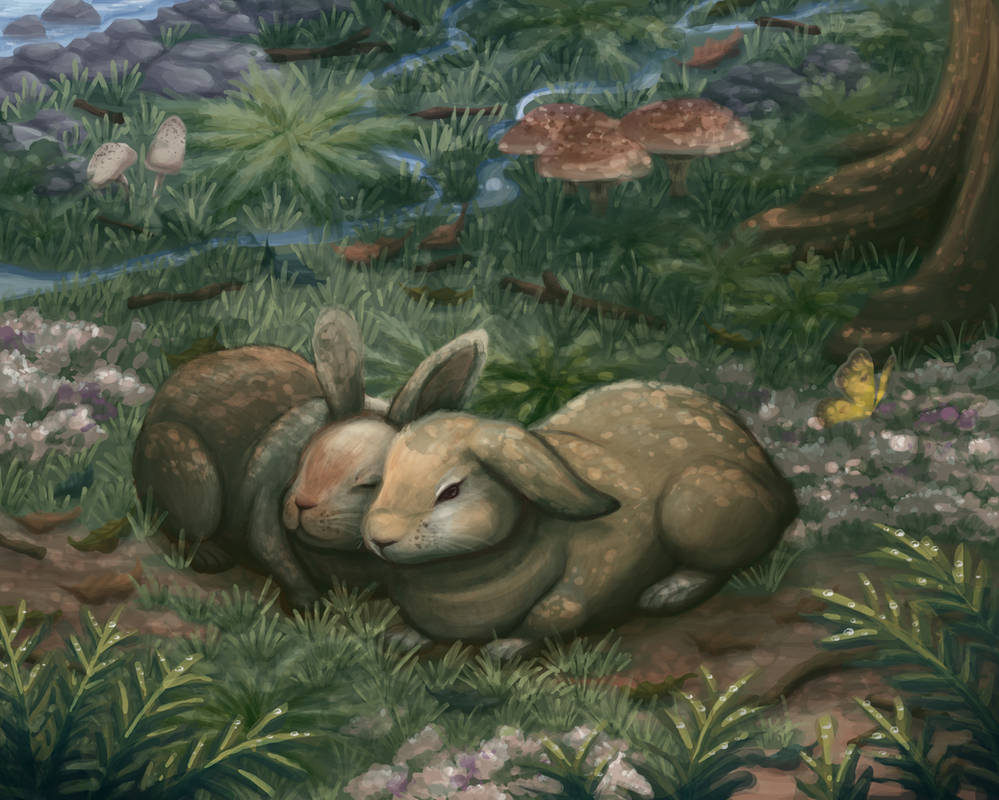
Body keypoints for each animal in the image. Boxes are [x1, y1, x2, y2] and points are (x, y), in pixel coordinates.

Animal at [133, 308, 488, 610]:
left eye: (372, 484)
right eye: (302, 462)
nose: (302, 504)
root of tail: (151, 420)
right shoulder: (265, 503)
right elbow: (275, 553)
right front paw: (312, 605)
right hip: (184, 464)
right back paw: (211, 557)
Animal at [361, 379, 798, 649]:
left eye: (451, 491)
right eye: (383, 478)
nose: (380, 538)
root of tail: (771, 477)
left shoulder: (598, 569)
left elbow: (557, 612)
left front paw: (509, 646)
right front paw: (404, 638)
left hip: (696, 502)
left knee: (721, 565)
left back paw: (667, 592)